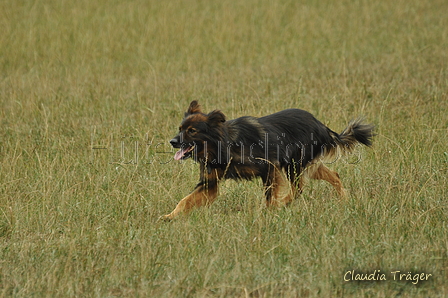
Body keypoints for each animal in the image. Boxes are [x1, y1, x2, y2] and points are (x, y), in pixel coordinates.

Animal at [161, 101, 374, 220]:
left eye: (192, 131)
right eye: (180, 129)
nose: (172, 141)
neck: (225, 144)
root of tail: (321, 124)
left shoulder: (270, 168)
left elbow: (270, 197)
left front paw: (271, 211)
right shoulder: (209, 184)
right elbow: (185, 201)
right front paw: (170, 217)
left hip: (293, 165)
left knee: (298, 188)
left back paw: (285, 202)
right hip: (306, 165)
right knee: (333, 175)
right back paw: (343, 198)